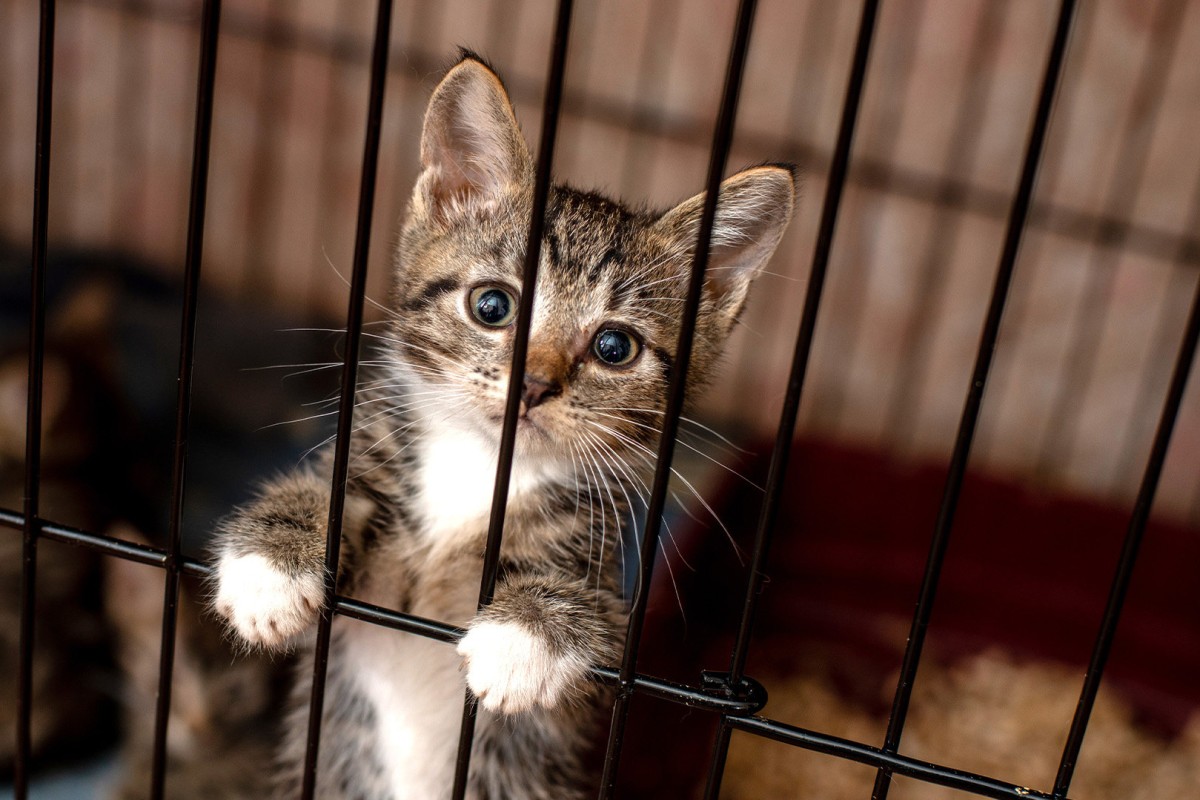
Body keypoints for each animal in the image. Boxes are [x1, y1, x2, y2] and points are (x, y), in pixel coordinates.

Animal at [212, 51, 796, 800]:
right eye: (492, 305)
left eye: (615, 347)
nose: (536, 384)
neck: (482, 465)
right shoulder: (370, 567)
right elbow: (330, 499)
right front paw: (271, 564)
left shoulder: (603, 625)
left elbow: (594, 627)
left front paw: (526, 637)